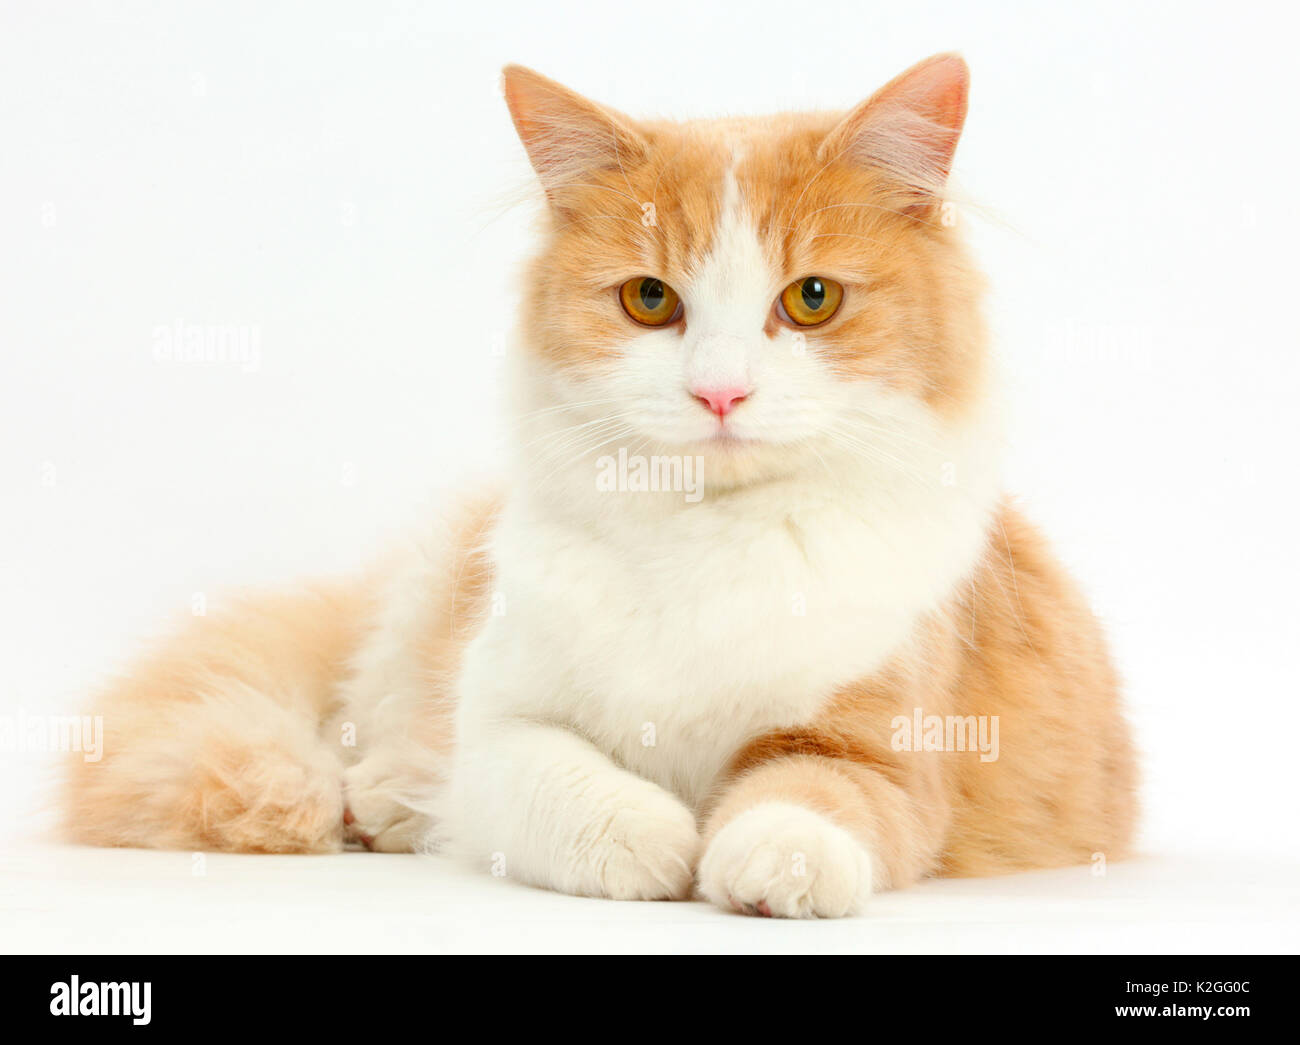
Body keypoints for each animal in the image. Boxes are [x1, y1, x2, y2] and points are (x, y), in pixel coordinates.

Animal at [63, 55, 1138, 915]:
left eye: (811, 299)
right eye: (650, 300)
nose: (719, 392)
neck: (707, 536)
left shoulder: (888, 750)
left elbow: (814, 798)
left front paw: (764, 863)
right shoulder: (499, 725)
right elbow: (570, 789)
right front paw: (660, 843)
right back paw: (374, 800)